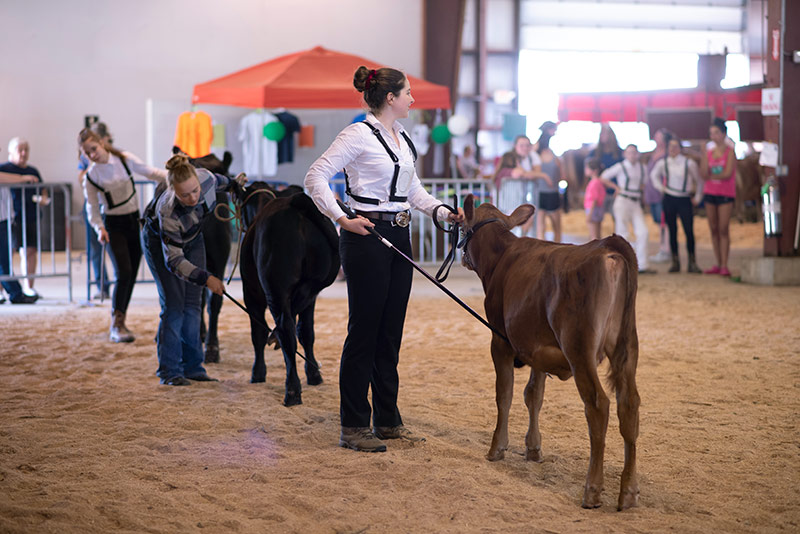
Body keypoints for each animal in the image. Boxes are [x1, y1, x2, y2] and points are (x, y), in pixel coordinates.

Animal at [236, 182, 340, 408]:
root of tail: (295, 203)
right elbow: (306, 332)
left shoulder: (250, 293)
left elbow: (257, 333)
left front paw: (258, 373)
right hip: (315, 283)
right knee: (303, 328)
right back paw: (313, 375)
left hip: (275, 289)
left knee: (286, 330)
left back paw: (292, 391)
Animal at [462, 196, 636, 510]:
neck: (503, 257)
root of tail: (608, 246)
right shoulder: (537, 349)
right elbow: (534, 395)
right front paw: (533, 448)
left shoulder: (499, 340)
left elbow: (504, 394)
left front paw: (497, 447)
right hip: (627, 347)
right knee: (629, 404)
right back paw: (628, 492)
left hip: (580, 350)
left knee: (598, 405)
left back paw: (592, 490)